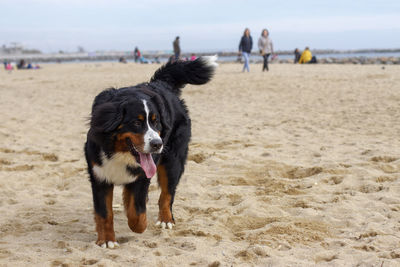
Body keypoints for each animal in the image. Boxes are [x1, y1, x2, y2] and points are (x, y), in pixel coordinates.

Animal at [83, 56, 217, 249]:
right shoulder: (100, 175)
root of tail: (161, 83)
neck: (120, 153)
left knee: (167, 194)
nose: (157, 144)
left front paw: (138, 225)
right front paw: (107, 240)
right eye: (137, 123)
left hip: (172, 162)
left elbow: (137, 213)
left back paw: (166, 219)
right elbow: (104, 213)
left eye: (156, 122)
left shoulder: (142, 176)